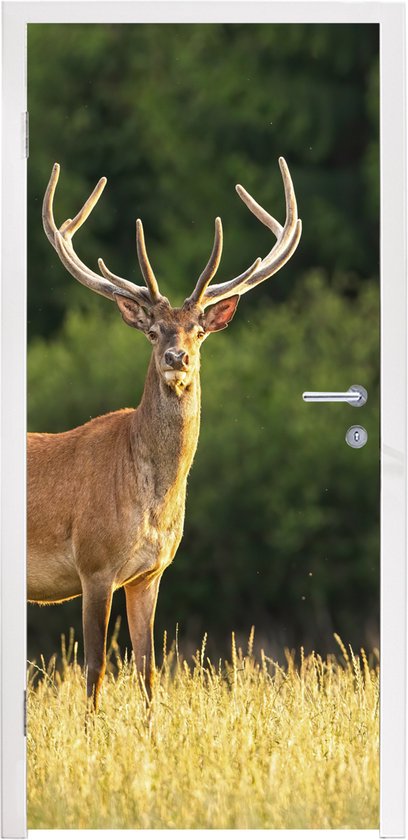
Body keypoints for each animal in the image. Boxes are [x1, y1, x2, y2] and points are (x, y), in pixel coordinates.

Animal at [27, 158, 301, 710]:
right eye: (153, 331)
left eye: (198, 329)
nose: (178, 357)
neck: (150, 501)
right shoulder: (93, 563)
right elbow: (95, 669)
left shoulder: (150, 573)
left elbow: (149, 671)